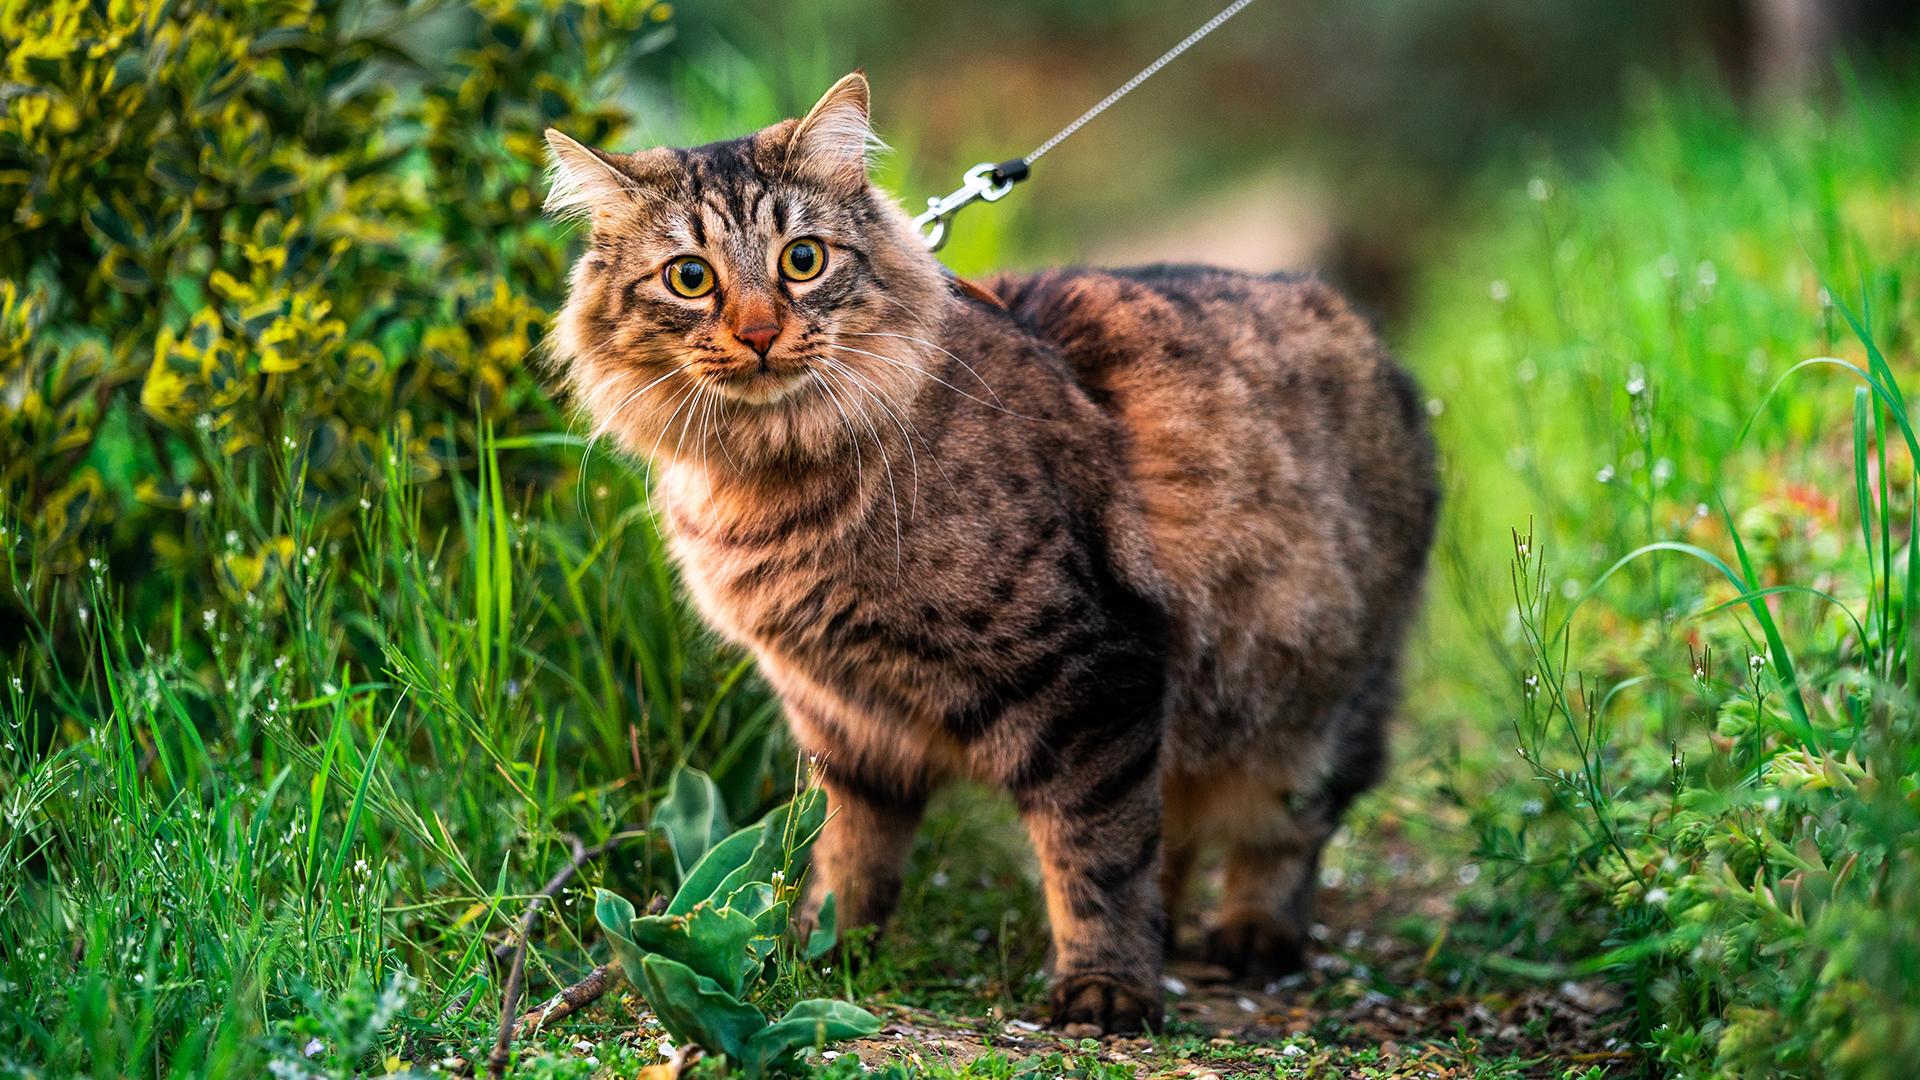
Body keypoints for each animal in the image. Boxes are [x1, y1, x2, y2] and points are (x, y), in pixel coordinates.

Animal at [549, 71, 1436, 1030]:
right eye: (690, 278)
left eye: (802, 261)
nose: (757, 333)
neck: (777, 482)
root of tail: (1380, 348)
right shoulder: (843, 721)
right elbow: (849, 852)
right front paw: (826, 950)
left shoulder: (1093, 677)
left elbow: (1098, 856)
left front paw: (1108, 986)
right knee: (1179, 835)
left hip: (1307, 713)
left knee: (1282, 838)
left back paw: (1251, 936)